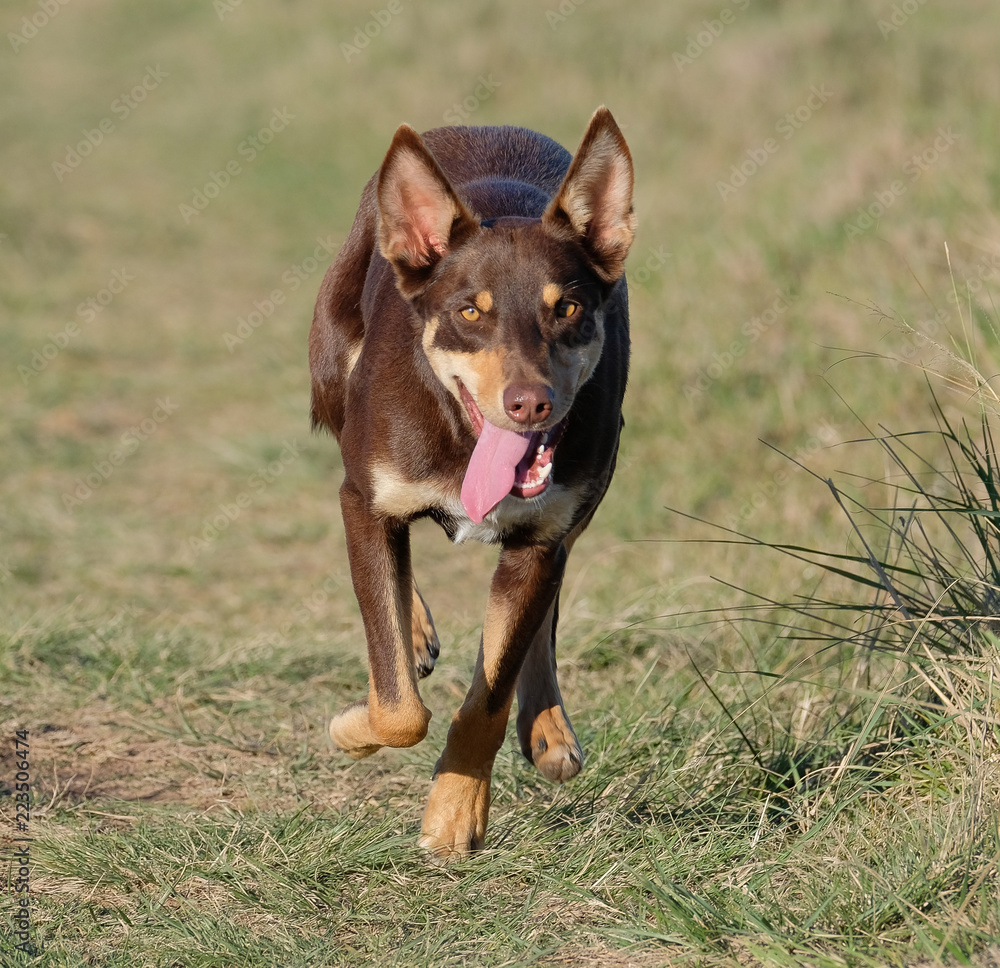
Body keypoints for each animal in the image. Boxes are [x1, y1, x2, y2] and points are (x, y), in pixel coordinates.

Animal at [308, 108, 636, 864]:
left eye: (567, 308)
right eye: (469, 312)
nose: (531, 403)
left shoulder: (541, 536)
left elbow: (489, 693)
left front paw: (454, 814)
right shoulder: (365, 501)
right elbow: (398, 707)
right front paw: (351, 726)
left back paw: (548, 728)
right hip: (332, 377)